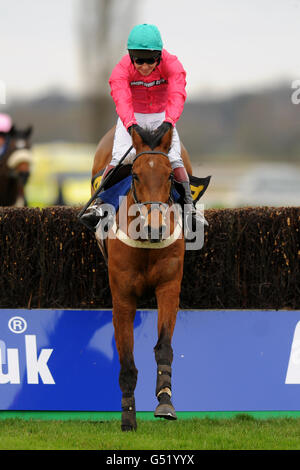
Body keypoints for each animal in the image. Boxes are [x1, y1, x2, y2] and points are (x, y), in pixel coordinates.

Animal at [89, 125, 192, 430]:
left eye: (169, 175)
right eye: (134, 175)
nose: (156, 228)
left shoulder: (169, 287)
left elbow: (164, 346)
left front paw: (165, 401)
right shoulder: (123, 298)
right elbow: (126, 360)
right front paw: (128, 417)